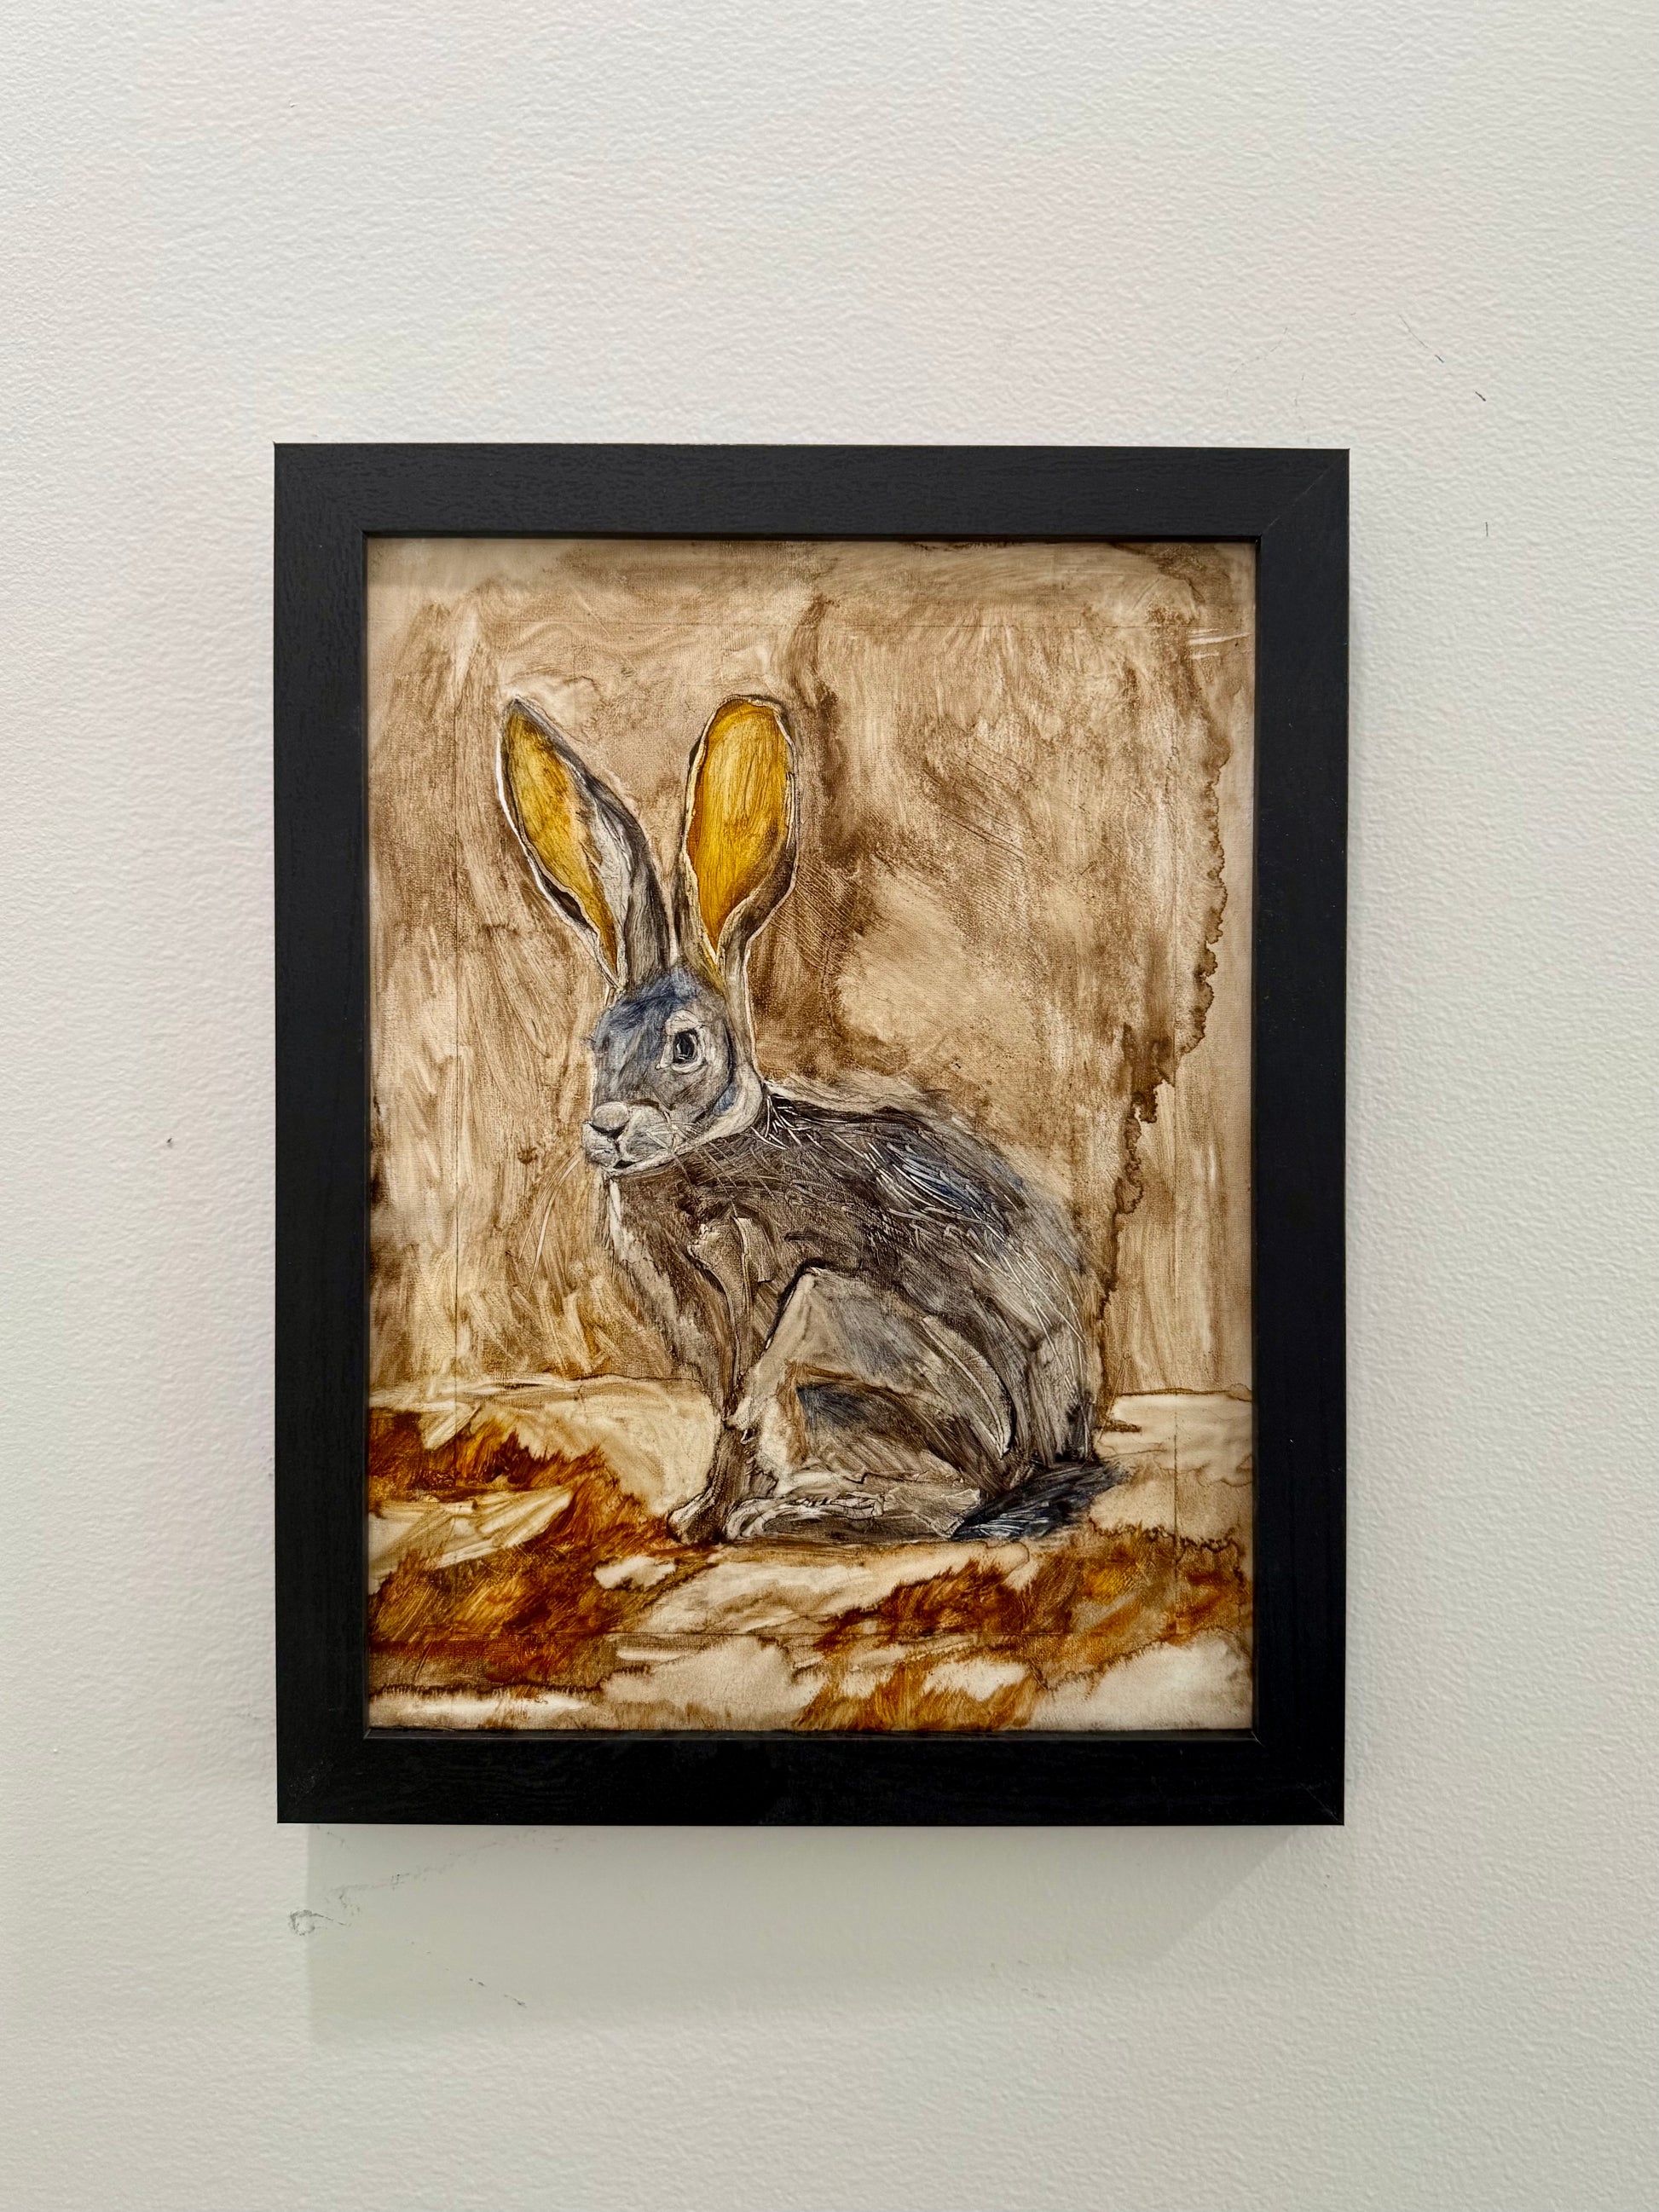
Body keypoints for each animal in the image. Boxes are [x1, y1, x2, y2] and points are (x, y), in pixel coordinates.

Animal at [497, 692, 1120, 1544]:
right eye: (599, 1044)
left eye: (685, 1046)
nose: (610, 1128)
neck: (708, 1144)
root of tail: (1045, 1457)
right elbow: (726, 1416)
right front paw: (694, 1515)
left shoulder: (747, 1299)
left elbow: (735, 1418)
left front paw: (702, 1519)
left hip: (836, 1325)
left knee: (950, 1505)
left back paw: (788, 1513)